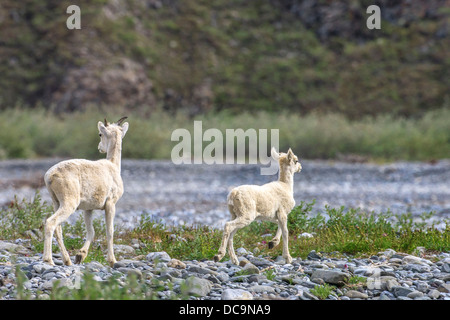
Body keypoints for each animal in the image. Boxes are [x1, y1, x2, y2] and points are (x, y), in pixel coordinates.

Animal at [42, 116, 128, 266]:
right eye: (100, 134)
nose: (99, 148)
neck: (113, 166)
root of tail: (49, 176)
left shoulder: (88, 209)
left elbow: (91, 232)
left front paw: (80, 256)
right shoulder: (111, 204)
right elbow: (110, 231)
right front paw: (112, 261)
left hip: (56, 203)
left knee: (58, 228)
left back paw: (67, 261)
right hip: (69, 203)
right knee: (51, 223)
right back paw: (49, 260)